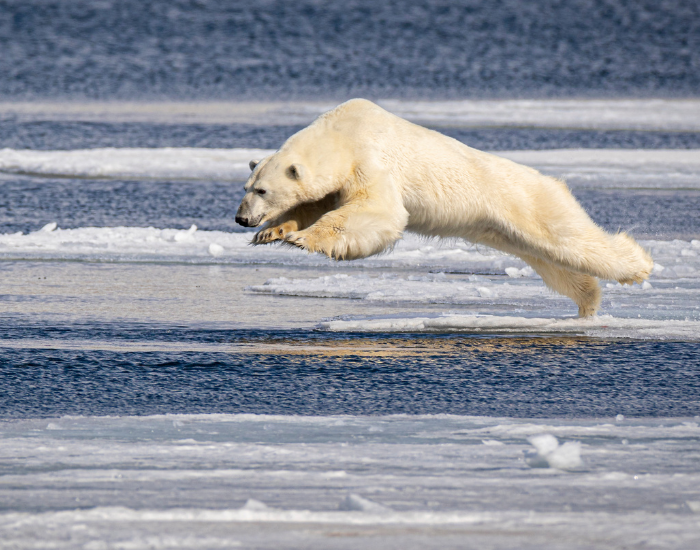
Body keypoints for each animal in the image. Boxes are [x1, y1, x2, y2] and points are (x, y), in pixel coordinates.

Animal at [235, 98, 653, 317]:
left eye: (262, 190)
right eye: (247, 187)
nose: (241, 218)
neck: (340, 136)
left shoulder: (370, 160)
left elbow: (379, 211)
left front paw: (305, 239)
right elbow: (313, 203)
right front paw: (273, 232)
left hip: (528, 201)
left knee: (568, 237)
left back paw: (640, 267)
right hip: (505, 231)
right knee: (551, 262)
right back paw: (588, 300)